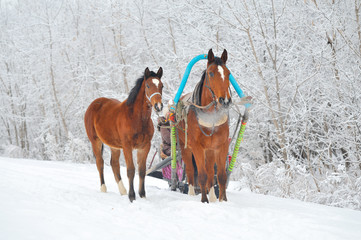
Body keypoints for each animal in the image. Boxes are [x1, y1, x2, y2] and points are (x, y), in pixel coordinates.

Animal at [83, 66, 162, 202]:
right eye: (147, 85)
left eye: (161, 85)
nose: (158, 106)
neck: (137, 118)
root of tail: (95, 103)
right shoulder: (127, 146)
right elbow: (131, 170)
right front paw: (132, 197)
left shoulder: (144, 146)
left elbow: (142, 171)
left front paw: (142, 195)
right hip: (95, 141)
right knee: (100, 163)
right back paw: (104, 188)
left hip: (114, 146)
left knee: (114, 164)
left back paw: (123, 191)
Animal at [177, 49, 231, 202]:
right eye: (211, 73)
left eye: (228, 73)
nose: (225, 100)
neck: (210, 117)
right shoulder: (197, 147)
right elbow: (201, 175)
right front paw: (204, 200)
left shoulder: (221, 145)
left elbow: (221, 176)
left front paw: (222, 200)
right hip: (185, 147)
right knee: (190, 171)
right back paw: (191, 193)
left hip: (210, 150)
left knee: (210, 171)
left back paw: (212, 196)